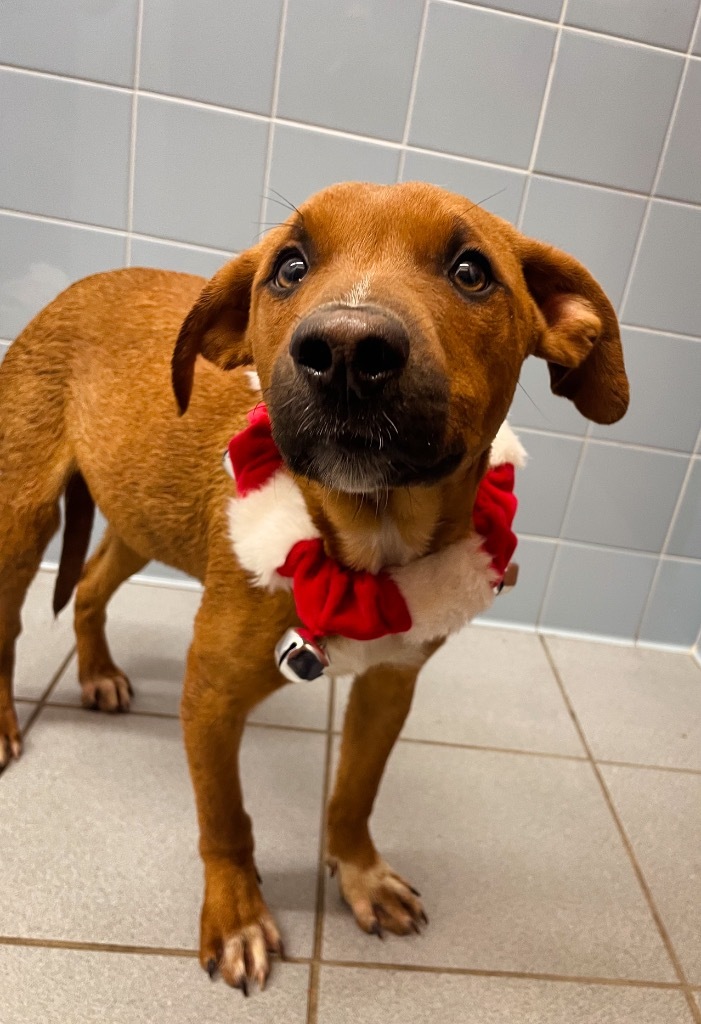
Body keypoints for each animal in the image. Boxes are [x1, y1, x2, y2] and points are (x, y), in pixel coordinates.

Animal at [0, 182, 630, 991]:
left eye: (470, 271)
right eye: (290, 267)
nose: (346, 353)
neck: (364, 543)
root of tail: (84, 283)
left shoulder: (390, 685)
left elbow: (355, 793)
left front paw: (358, 874)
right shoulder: (209, 698)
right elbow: (225, 818)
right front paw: (237, 915)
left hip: (141, 515)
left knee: (87, 588)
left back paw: (99, 672)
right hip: (24, 517)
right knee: (10, 625)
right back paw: (6, 723)